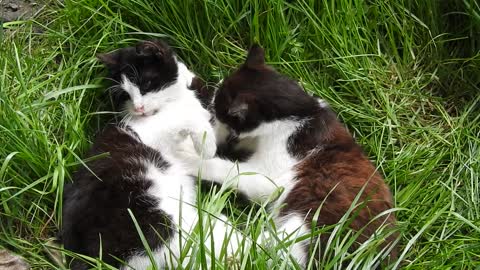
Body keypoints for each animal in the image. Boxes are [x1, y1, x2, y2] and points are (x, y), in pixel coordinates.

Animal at [62, 39, 240, 268]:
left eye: (145, 84)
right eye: (125, 95)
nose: (137, 108)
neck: (179, 98)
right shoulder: (152, 131)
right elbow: (187, 119)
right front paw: (206, 145)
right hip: (166, 224)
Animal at [179, 45, 398, 266]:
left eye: (220, 111)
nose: (212, 111)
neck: (302, 111)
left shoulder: (267, 177)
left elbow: (225, 168)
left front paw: (186, 156)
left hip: (308, 227)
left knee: (250, 250)